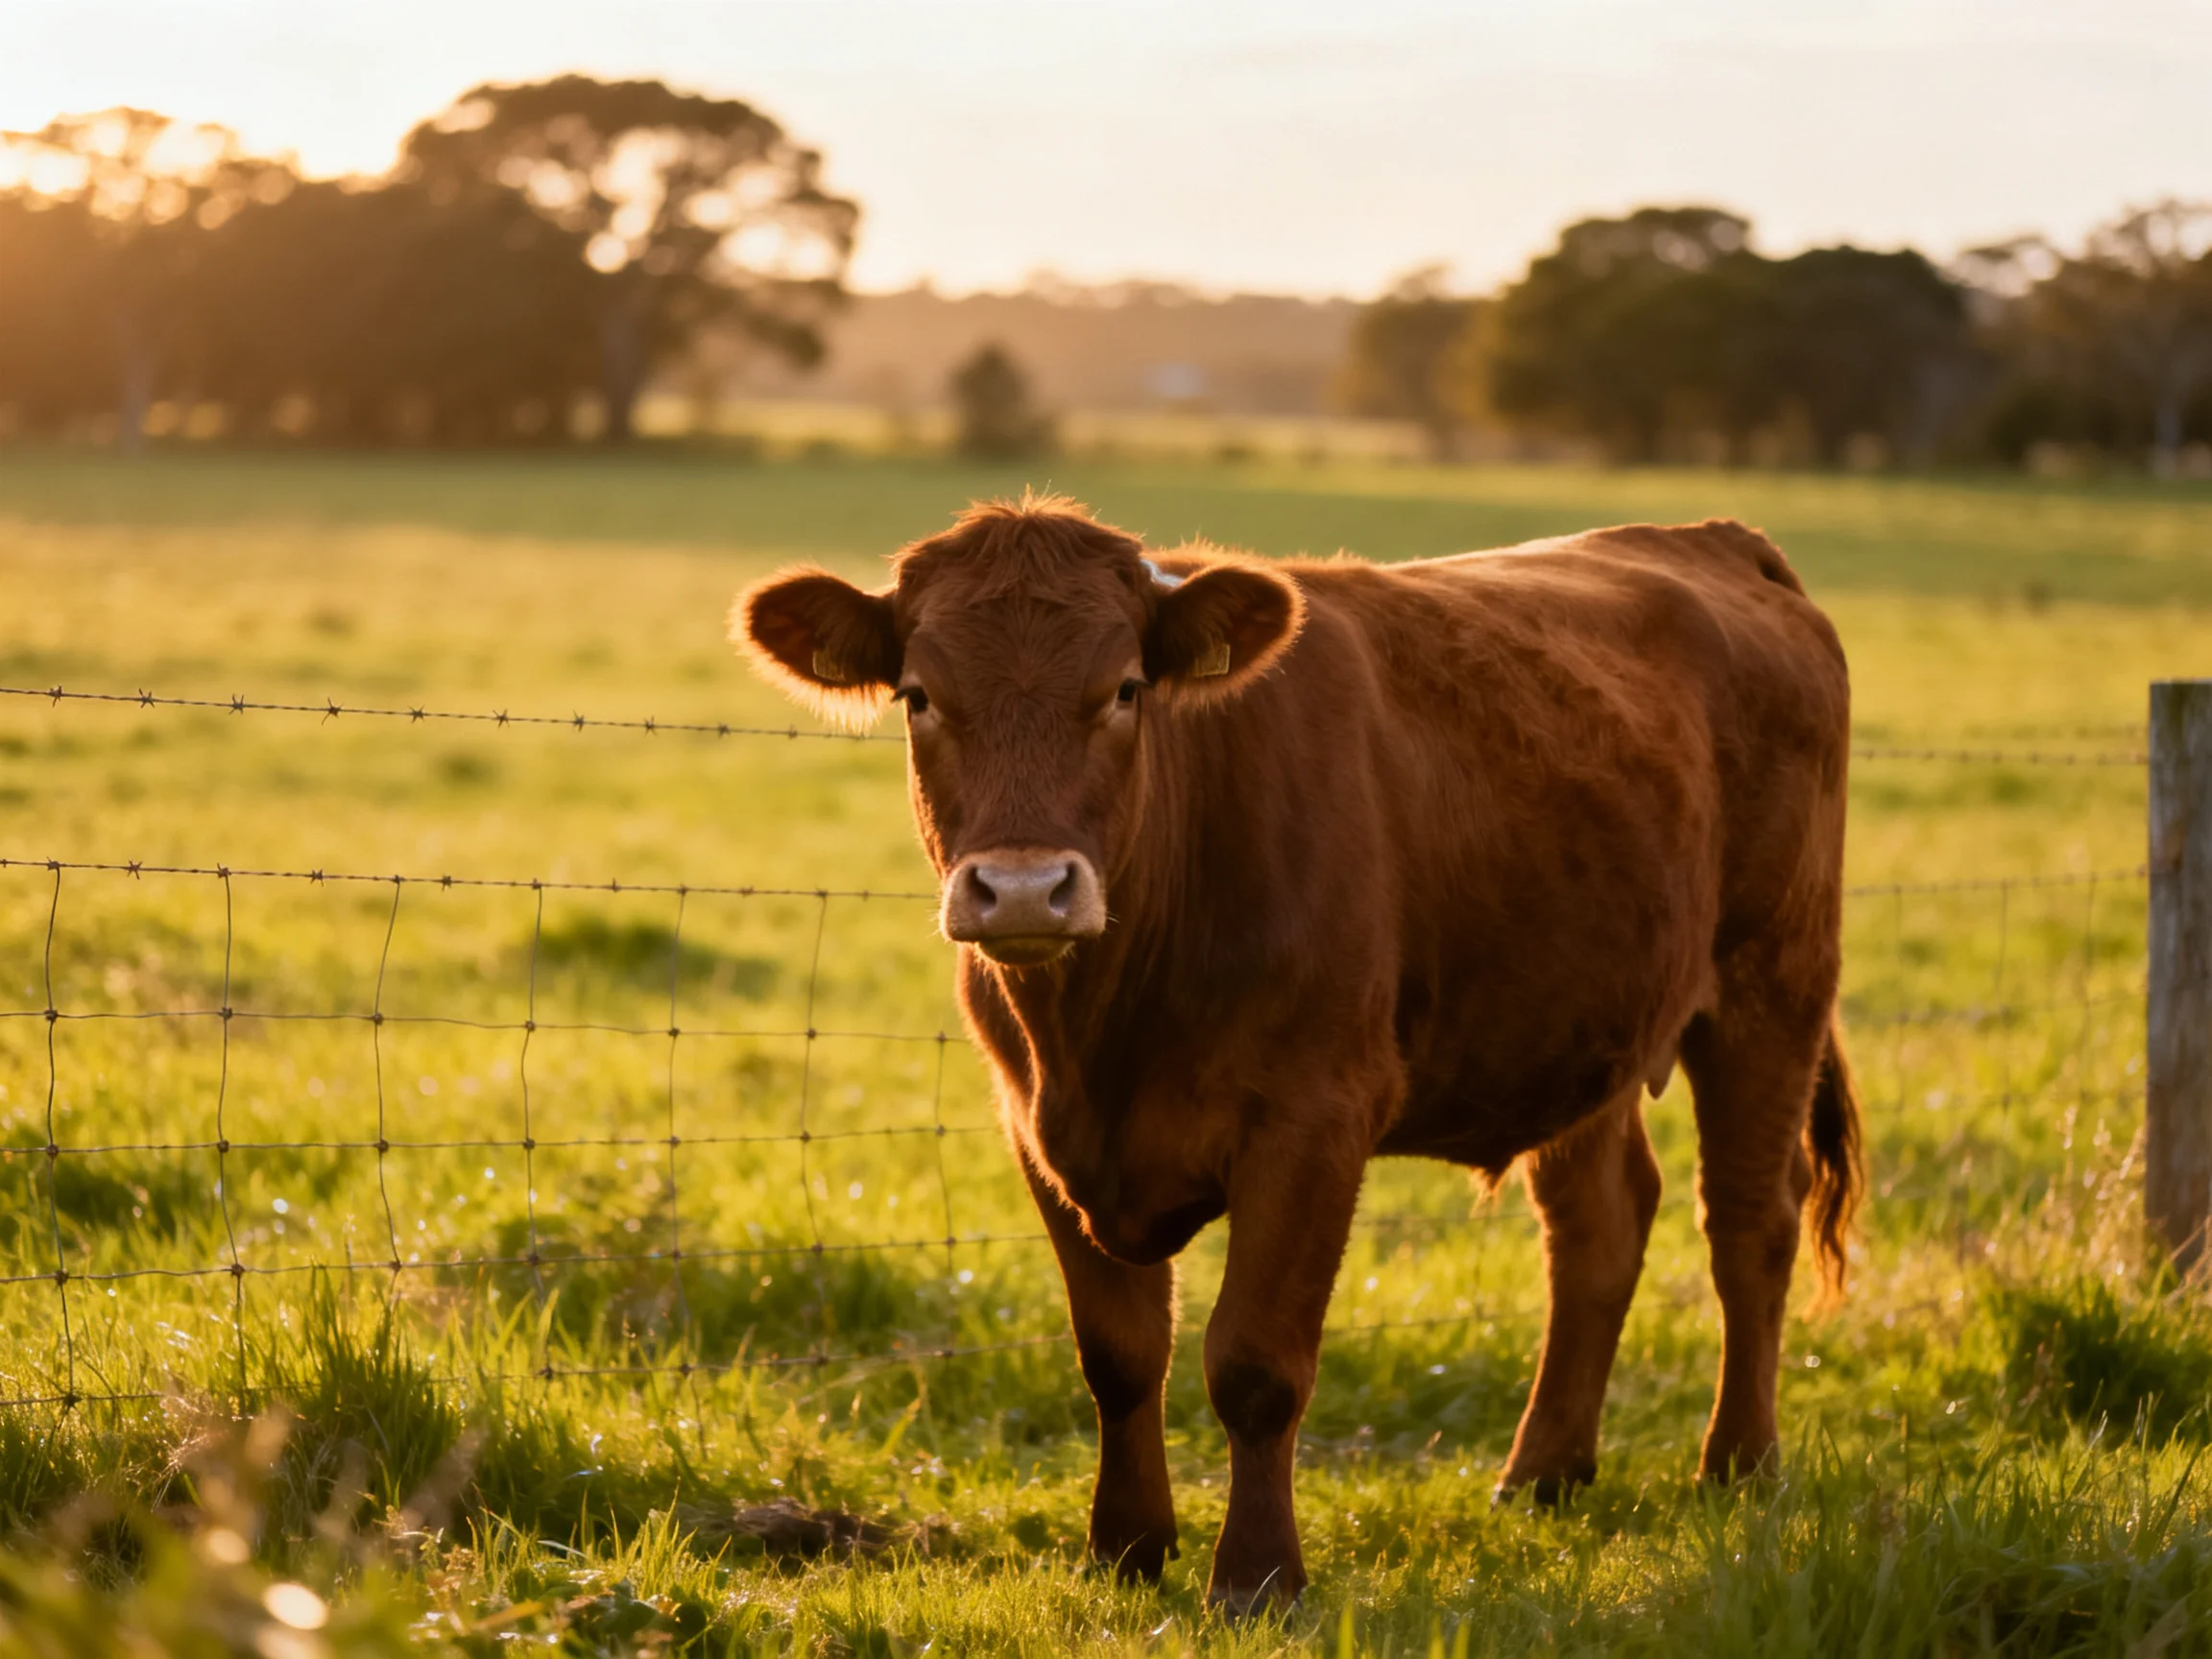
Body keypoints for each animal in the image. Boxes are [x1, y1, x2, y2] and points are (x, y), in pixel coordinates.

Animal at [733, 494, 1860, 1611]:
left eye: (1125, 689)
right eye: (920, 696)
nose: (1020, 890)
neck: (1103, 1032)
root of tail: (1709, 538)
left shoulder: (1314, 1118)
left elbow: (1256, 1362)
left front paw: (1258, 1576)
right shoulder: (1036, 1128)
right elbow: (1119, 1355)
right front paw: (1126, 1550)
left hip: (1772, 982)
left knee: (1750, 1220)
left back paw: (1738, 1467)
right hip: (1580, 1022)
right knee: (1600, 1225)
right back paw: (1541, 1475)